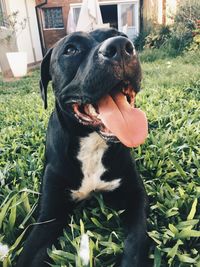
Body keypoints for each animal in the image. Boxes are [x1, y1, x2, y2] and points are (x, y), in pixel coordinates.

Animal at [16, 28, 148, 266]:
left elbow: (136, 241)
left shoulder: (135, 195)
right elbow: (28, 253)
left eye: (119, 35)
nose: (121, 46)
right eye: (71, 49)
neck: (92, 143)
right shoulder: (49, 215)